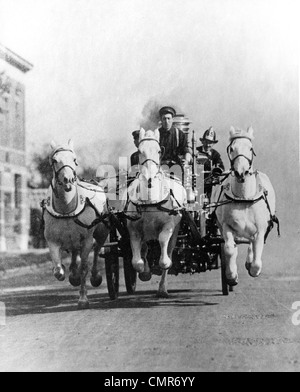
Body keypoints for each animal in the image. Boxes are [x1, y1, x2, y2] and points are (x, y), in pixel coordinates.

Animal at [42, 139, 109, 308]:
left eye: (74, 159)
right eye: (54, 160)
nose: (68, 180)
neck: (67, 208)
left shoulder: (86, 240)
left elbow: (84, 267)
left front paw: (83, 298)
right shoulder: (52, 241)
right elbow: (58, 270)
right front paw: (67, 273)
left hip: (101, 233)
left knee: (97, 250)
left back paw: (95, 276)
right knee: (74, 252)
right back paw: (73, 274)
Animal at [123, 129, 185, 298]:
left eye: (158, 151)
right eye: (139, 151)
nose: (149, 178)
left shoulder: (169, 226)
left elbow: (164, 260)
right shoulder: (133, 229)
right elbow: (137, 262)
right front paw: (145, 272)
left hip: (176, 230)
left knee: (169, 251)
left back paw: (162, 289)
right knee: (144, 248)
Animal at [211, 127, 278, 286]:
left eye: (250, 148)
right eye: (231, 148)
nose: (241, 172)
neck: (244, 199)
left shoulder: (260, 229)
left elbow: (257, 254)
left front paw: (253, 269)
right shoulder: (226, 226)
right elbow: (229, 249)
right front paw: (231, 276)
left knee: (252, 243)